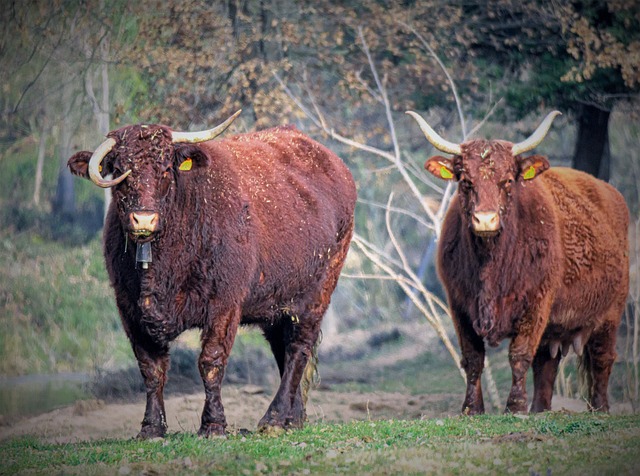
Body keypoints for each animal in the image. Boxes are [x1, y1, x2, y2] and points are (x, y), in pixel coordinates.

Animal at [67, 110, 358, 436]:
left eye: (165, 169)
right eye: (118, 169)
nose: (144, 219)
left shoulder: (224, 304)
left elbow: (211, 361)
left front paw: (213, 424)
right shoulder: (129, 308)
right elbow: (150, 368)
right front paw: (152, 427)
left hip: (316, 294)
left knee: (298, 349)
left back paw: (273, 418)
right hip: (277, 303)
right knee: (283, 350)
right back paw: (293, 418)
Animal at [408, 109, 628, 414]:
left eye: (507, 181)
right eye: (466, 181)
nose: (485, 220)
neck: (490, 265)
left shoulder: (536, 303)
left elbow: (520, 354)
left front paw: (515, 406)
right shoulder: (460, 305)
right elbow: (473, 358)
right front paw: (472, 408)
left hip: (610, 313)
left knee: (602, 358)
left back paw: (600, 408)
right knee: (547, 365)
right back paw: (540, 409)